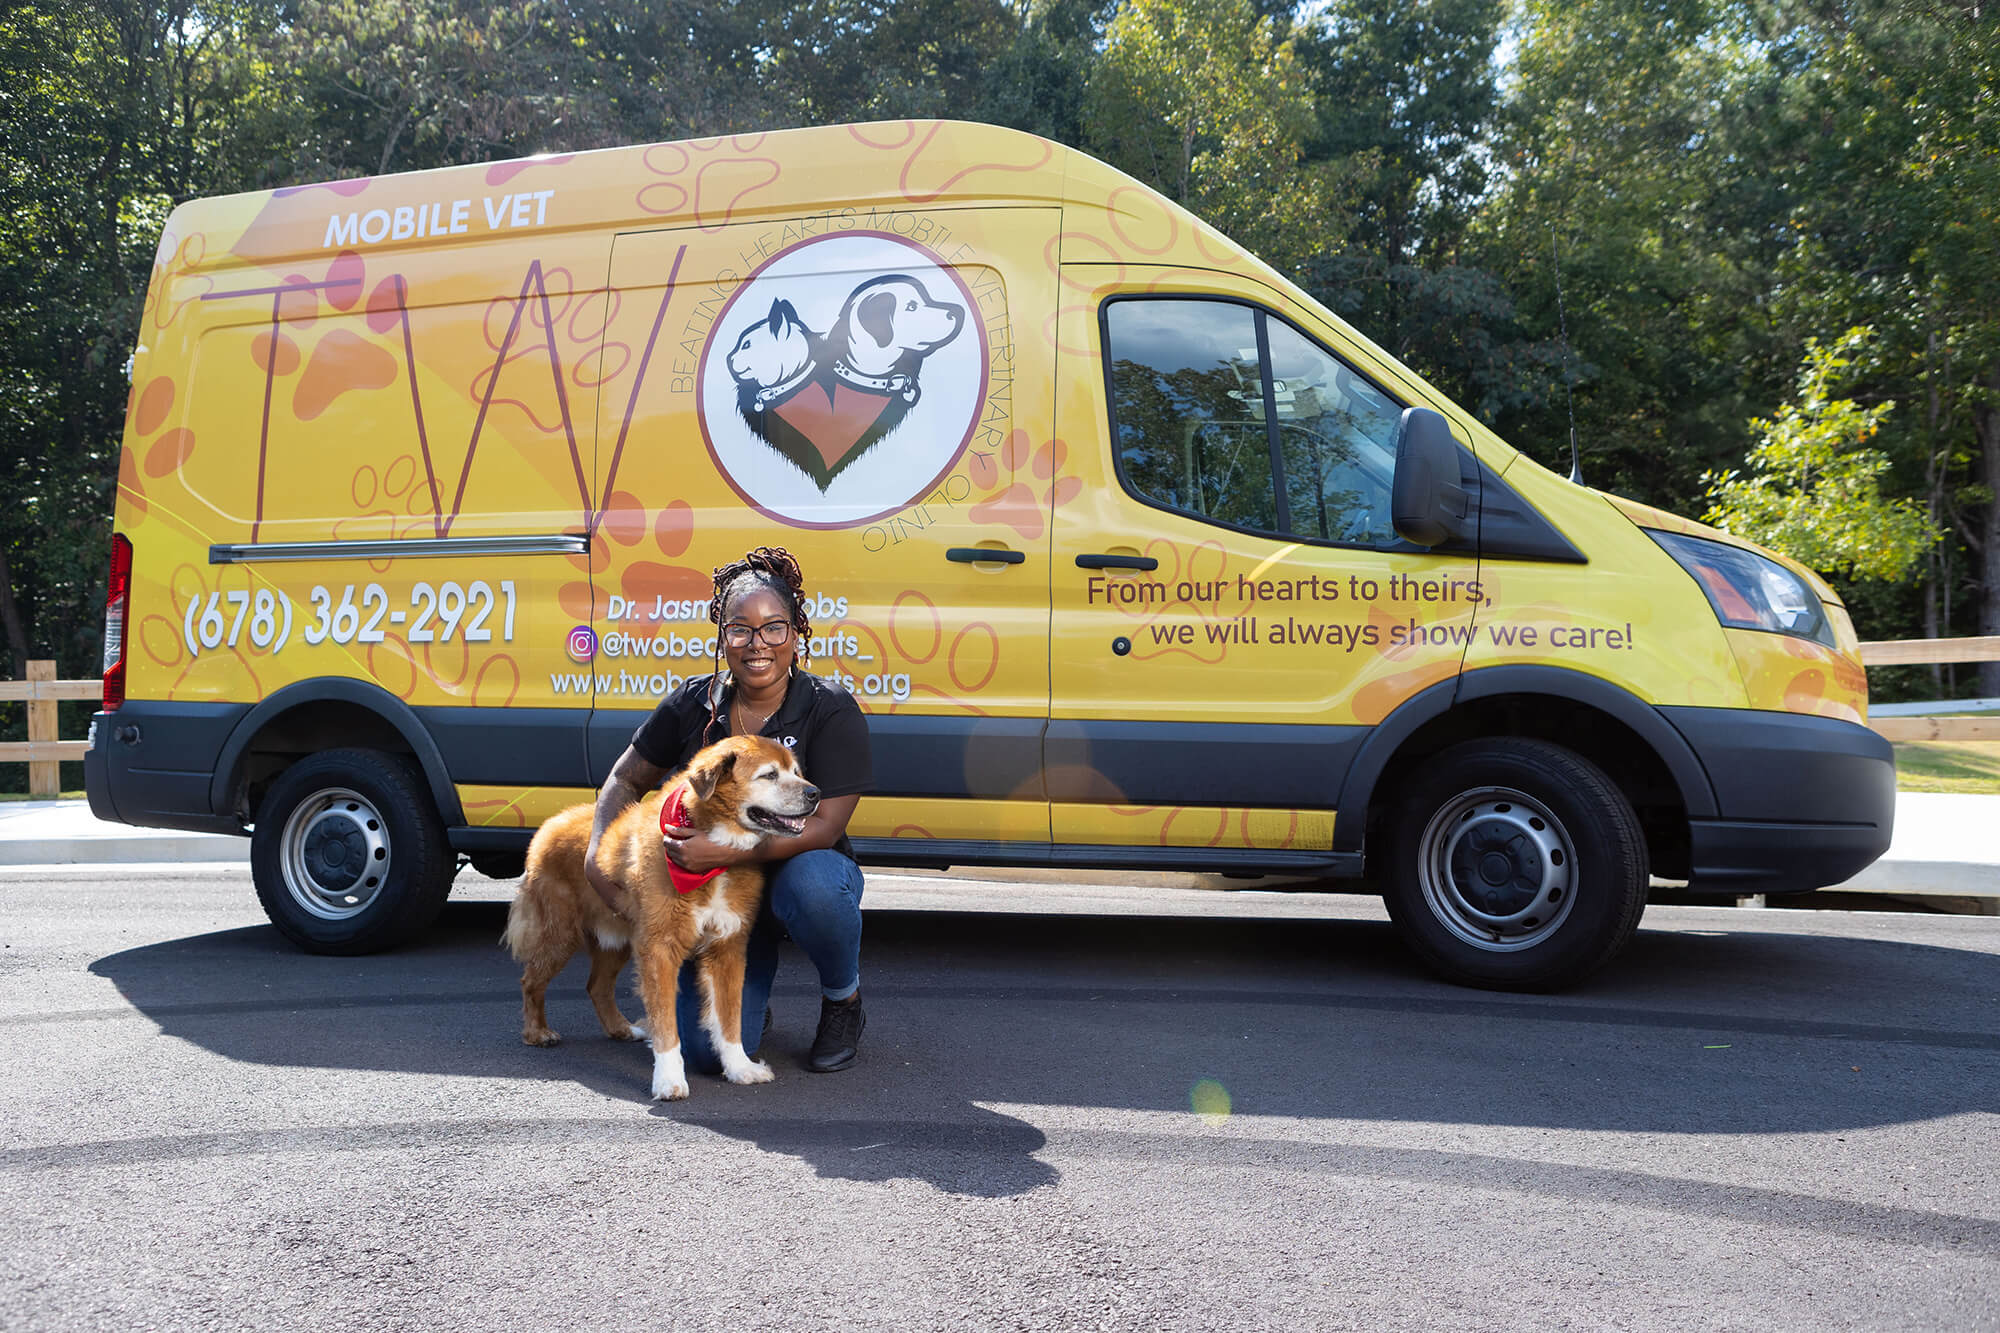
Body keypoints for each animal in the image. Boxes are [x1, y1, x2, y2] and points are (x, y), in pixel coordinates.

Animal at [500, 732, 820, 1096]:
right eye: (769, 775)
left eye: (796, 771)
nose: (815, 793)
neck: (714, 854)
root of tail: (549, 825)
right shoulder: (660, 949)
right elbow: (666, 1021)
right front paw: (668, 1079)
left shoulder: (727, 948)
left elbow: (729, 1017)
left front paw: (739, 1067)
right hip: (560, 935)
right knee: (531, 981)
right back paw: (537, 1033)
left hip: (617, 941)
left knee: (597, 986)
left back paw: (621, 1029)